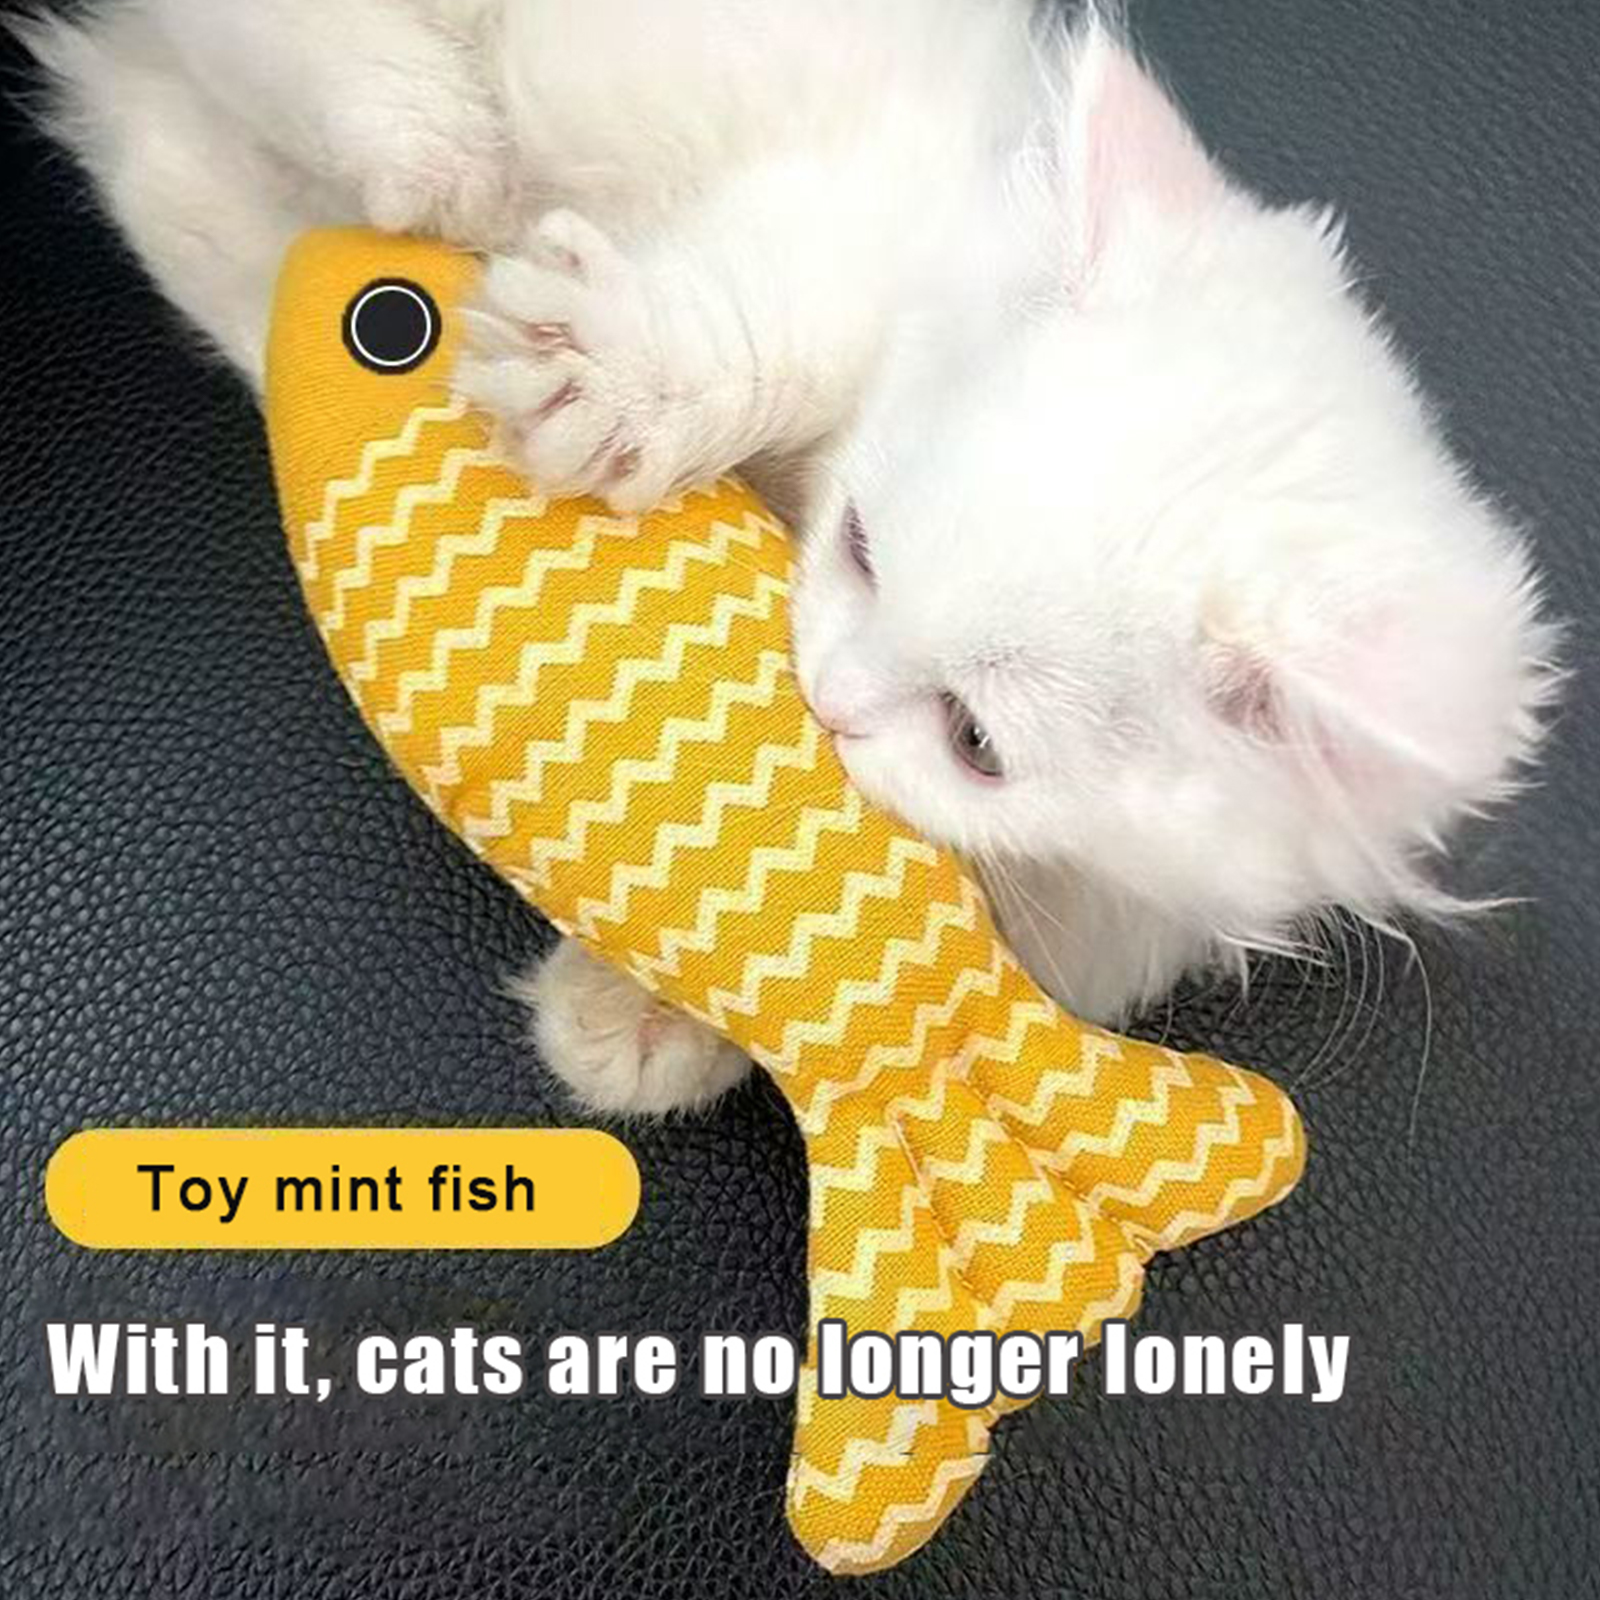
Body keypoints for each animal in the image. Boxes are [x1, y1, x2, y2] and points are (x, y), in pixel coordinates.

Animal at [18, 0, 1557, 1115]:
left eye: (975, 743)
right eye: (862, 548)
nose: (823, 699)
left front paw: (638, 1020)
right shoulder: (854, 225)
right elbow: (767, 324)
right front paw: (610, 384)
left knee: (149, 132)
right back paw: (432, 149)